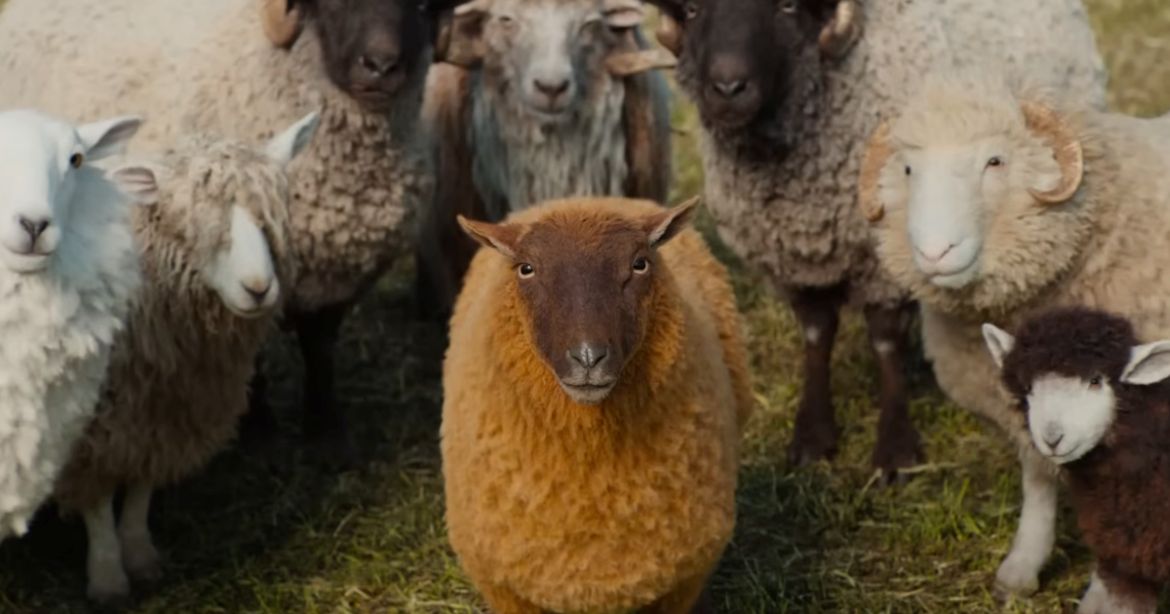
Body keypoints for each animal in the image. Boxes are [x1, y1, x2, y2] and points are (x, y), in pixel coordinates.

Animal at [0, 0, 437, 452]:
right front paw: (257, 425)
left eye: (424, 8)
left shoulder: (339, 282)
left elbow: (320, 349)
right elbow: (255, 356)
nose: (381, 66)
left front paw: (325, 429)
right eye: (335, 6)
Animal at [49, 113, 319, 605]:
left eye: (271, 219)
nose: (258, 288)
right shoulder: (88, 427)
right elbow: (97, 500)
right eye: (190, 222)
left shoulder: (166, 411)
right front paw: (108, 577)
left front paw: (140, 556)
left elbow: (141, 487)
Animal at [442, 196, 753, 613]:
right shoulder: (506, 589)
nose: (588, 357)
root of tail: (582, 197)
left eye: (640, 264)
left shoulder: (681, 582)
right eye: (526, 269)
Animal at [636, 0, 1107, 483]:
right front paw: (813, 437)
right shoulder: (795, 262)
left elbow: (884, 342)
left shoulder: (885, 262)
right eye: (693, 10)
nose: (728, 88)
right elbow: (816, 334)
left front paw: (895, 450)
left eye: (787, 7)